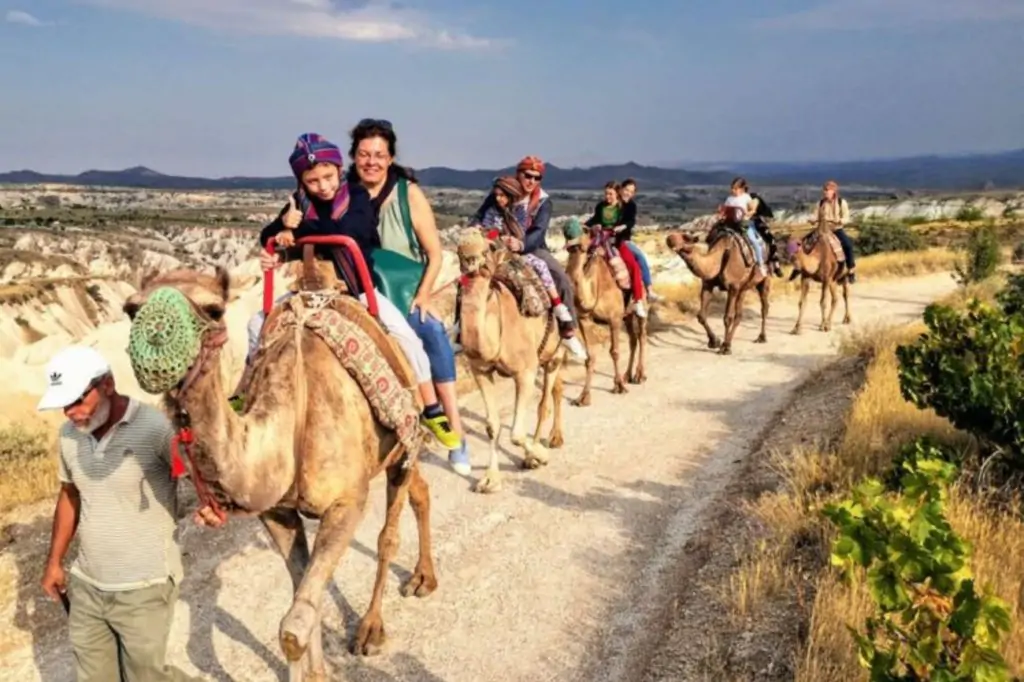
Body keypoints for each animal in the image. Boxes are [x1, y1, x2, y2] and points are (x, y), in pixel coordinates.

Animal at [121, 250, 438, 679]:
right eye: (131, 309)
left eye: (214, 309)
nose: (154, 353)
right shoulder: (276, 512)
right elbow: (301, 589)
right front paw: (318, 672)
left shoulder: (347, 502)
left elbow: (293, 626)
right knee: (420, 489)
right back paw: (423, 577)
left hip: (402, 437)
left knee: (389, 533)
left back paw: (372, 628)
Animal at [456, 229, 569, 493]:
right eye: (458, 249)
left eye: (486, 247)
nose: (469, 258)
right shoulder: (480, 370)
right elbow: (492, 426)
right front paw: (489, 479)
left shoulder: (524, 371)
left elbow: (516, 434)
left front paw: (539, 455)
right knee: (556, 389)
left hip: (555, 353)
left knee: (544, 401)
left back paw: (538, 451)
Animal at [561, 225, 647, 403]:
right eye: (567, 243)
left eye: (583, 245)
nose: (571, 243)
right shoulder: (585, 319)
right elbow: (590, 357)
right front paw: (583, 397)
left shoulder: (614, 318)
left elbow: (614, 352)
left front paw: (619, 386)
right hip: (627, 315)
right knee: (633, 339)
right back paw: (627, 375)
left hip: (641, 304)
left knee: (642, 335)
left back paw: (639, 375)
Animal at [663, 227, 770, 356]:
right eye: (670, 239)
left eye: (684, 238)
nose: (669, 240)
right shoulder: (707, 285)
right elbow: (701, 316)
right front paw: (715, 342)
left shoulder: (733, 287)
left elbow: (727, 318)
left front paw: (725, 347)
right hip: (744, 288)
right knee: (739, 314)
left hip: (764, 279)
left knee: (764, 307)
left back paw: (761, 337)